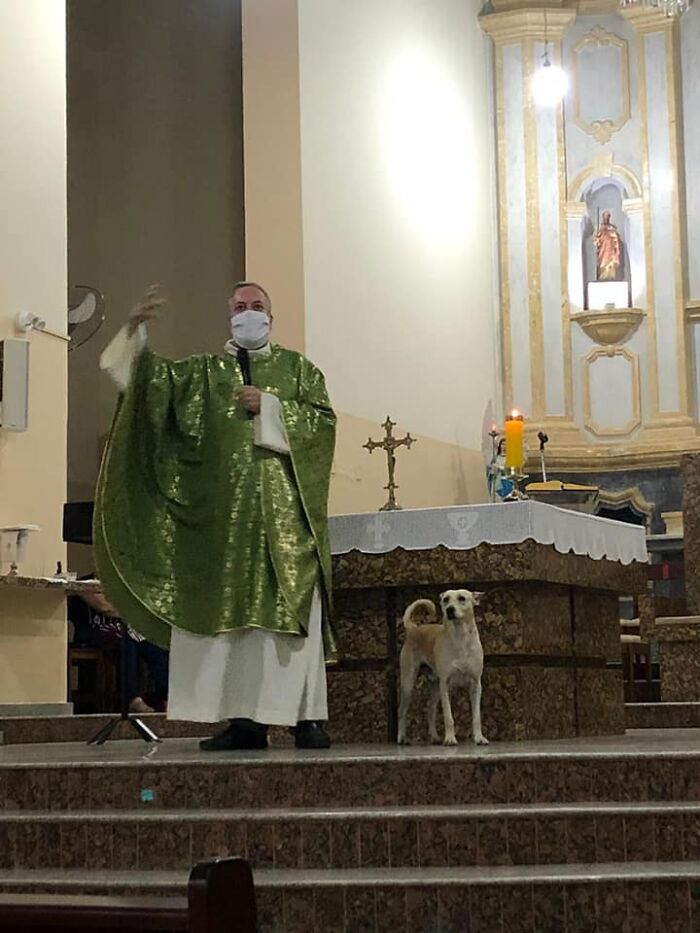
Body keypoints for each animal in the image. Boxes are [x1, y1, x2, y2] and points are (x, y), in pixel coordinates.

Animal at [396, 588, 490, 748]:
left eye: (462, 598)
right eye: (445, 599)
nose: (449, 609)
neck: (459, 639)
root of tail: (413, 628)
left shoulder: (476, 684)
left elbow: (476, 716)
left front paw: (479, 738)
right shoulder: (445, 683)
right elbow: (448, 716)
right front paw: (450, 738)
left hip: (435, 686)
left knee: (430, 711)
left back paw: (434, 737)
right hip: (408, 683)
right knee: (402, 711)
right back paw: (402, 738)